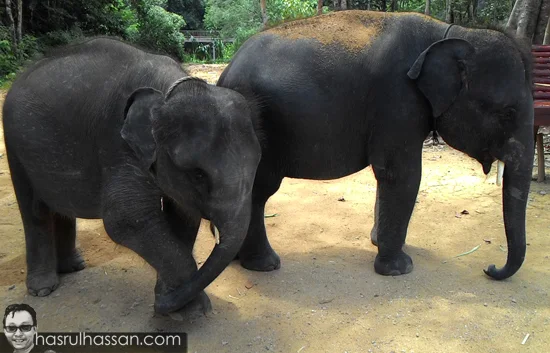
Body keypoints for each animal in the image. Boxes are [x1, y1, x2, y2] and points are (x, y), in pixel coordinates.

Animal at [2, 37, 264, 312]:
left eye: (257, 164)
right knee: (34, 211)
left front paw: (173, 300)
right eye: (198, 175)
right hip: (15, 145)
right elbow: (126, 219)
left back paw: (74, 267)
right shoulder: (117, 144)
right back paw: (43, 289)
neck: (168, 91)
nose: (158, 304)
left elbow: (183, 217)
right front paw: (192, 310)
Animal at [218, 10, 536, 278]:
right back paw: (263, 264)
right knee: (258, 192)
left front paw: (378, 242)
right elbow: (400, 174)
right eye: (507, 113)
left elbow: (389, 177)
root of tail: (226, 73)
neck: (452, 31)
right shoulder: (398, 99)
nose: (490, 268)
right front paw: (399, 268)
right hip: (260, 127)